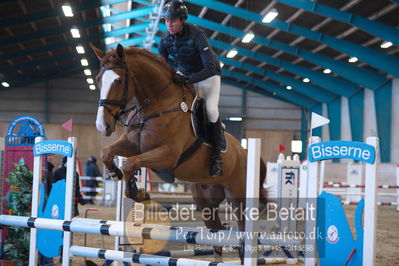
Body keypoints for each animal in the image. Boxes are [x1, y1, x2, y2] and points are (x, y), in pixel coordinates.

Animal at [93, 43, 268, 256]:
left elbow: (131, 164)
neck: (156, 105)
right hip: (206, 202)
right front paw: (115, 174)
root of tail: (245, 152)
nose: (103, 126)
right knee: (216, 234)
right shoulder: (132, 145)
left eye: (117, 81)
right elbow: (107, 153)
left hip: (238, 196)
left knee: (243, 232)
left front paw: (138, 192)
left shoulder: (168, 155)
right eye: (98, 79)